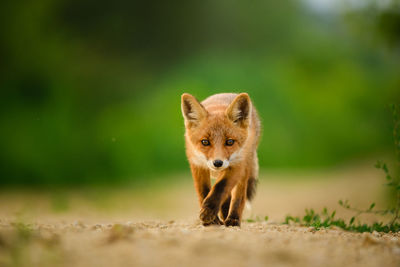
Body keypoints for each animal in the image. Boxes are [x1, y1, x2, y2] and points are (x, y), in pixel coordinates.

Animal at [180, 93, 260, 227]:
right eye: (205, 142)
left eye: (230, 142)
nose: (218, 163)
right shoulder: (197, 164)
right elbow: (204, 191)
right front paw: (212, 219)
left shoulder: (237, 164)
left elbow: (220, 187)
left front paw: (209, 211)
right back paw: (223, 214)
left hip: (245, 167)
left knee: (238, 195)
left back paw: (233, 218)